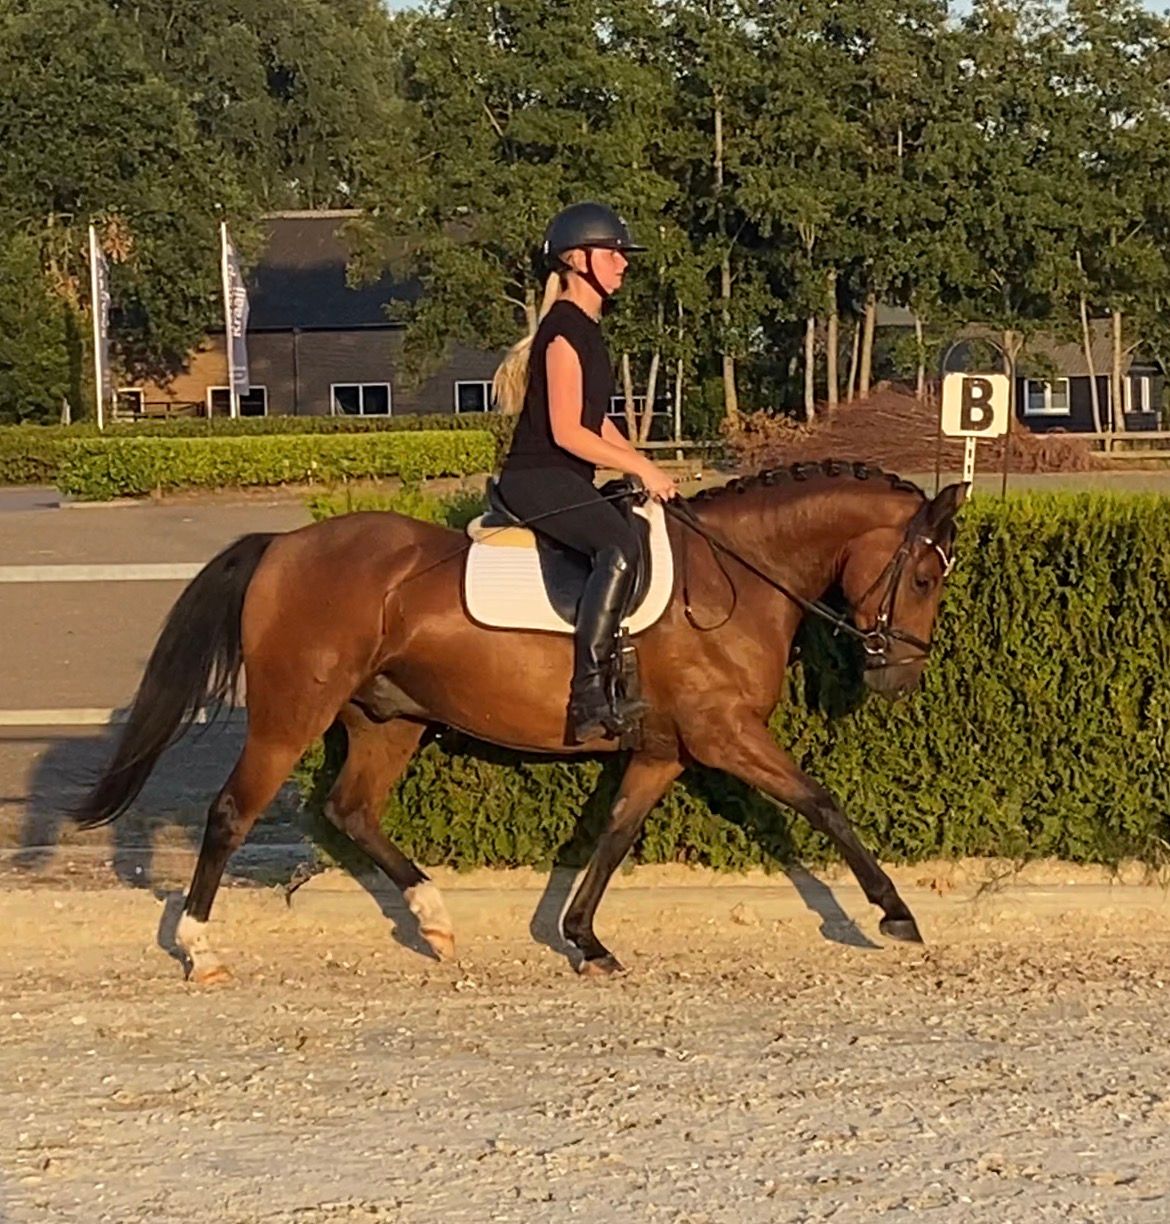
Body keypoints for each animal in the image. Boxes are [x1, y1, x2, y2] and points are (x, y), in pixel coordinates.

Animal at [74, 460, 967, 983]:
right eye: (924, 577)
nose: (900, 676)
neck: (733, 578)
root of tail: (284, 544)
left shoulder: (665, 751)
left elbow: (613, 833)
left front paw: (584, 938)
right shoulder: (725, 736)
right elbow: (822, 802)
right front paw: (895, 913)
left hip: (387, 720)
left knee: (350, 809)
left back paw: (434, 920)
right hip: (292, 715)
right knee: (232, 812)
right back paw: (201, 949)